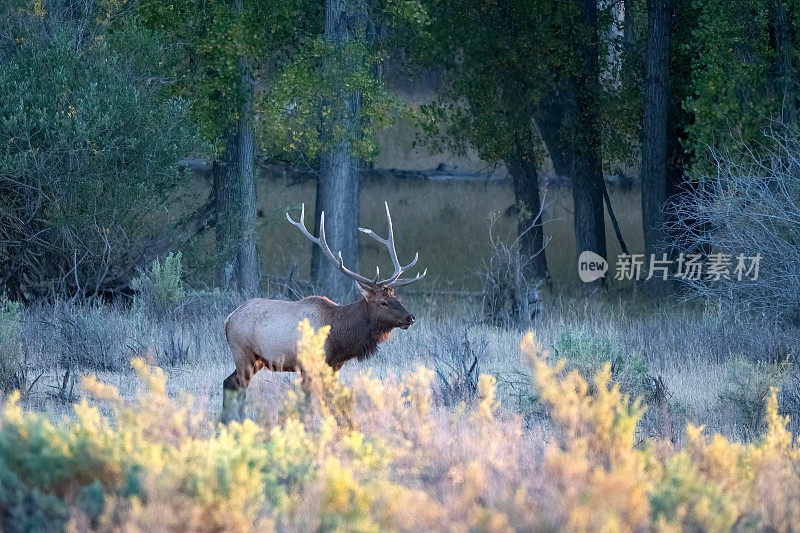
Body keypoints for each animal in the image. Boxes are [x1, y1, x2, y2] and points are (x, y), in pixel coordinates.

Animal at [220, 201, 424, 420]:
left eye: (397, 298)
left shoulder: (333, 366)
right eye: (383, 302)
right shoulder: (308, 366)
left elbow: (331, 400)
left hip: (257, 360)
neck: (339, 337)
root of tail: (228, 318)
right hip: (243, 353)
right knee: (239, 387)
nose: (410, 317)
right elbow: (307, 402)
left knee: (228, 382)